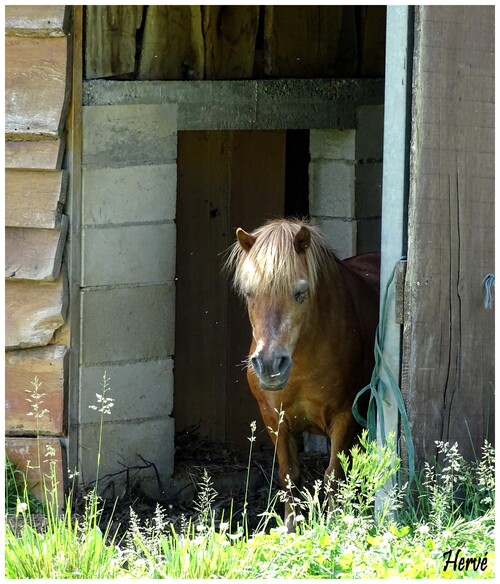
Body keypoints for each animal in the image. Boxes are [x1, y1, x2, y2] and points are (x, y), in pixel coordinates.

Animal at [227, 218, 378, 528]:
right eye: (249, 293)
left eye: (299, 293)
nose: (270, 365)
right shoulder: (274, 419)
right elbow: (289, 477)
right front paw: (289, 529)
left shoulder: (345, 417)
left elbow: (334, 476)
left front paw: (334, 526)